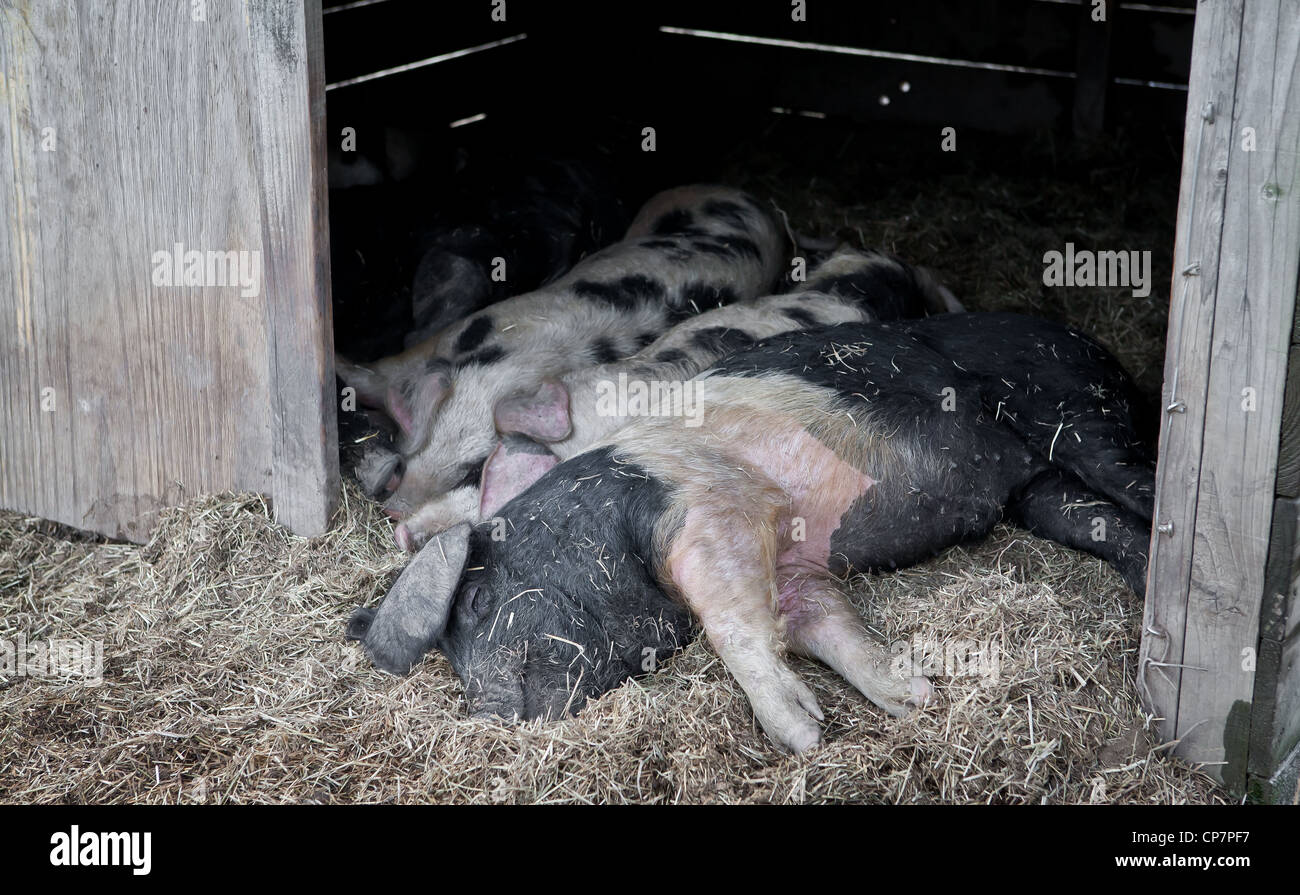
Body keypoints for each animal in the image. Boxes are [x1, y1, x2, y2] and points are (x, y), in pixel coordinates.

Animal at [335, 184, 780, 525]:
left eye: (473, 470)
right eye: (431, 434)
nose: (394, 509)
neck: (513, 360)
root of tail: (746, 195)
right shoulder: (465, 330)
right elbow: (386, 369)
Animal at [348, 310, 1159, 749]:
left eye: (475, 601)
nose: (485, 714)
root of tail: (1096, 346)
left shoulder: (717, 506)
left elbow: (732, 624)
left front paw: (802, 733)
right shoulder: (796, 569)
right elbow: (820, 619)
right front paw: (912, 694)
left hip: (1078, 415)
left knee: (1136, 485)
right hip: (1040, 489)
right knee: (1106, 526)